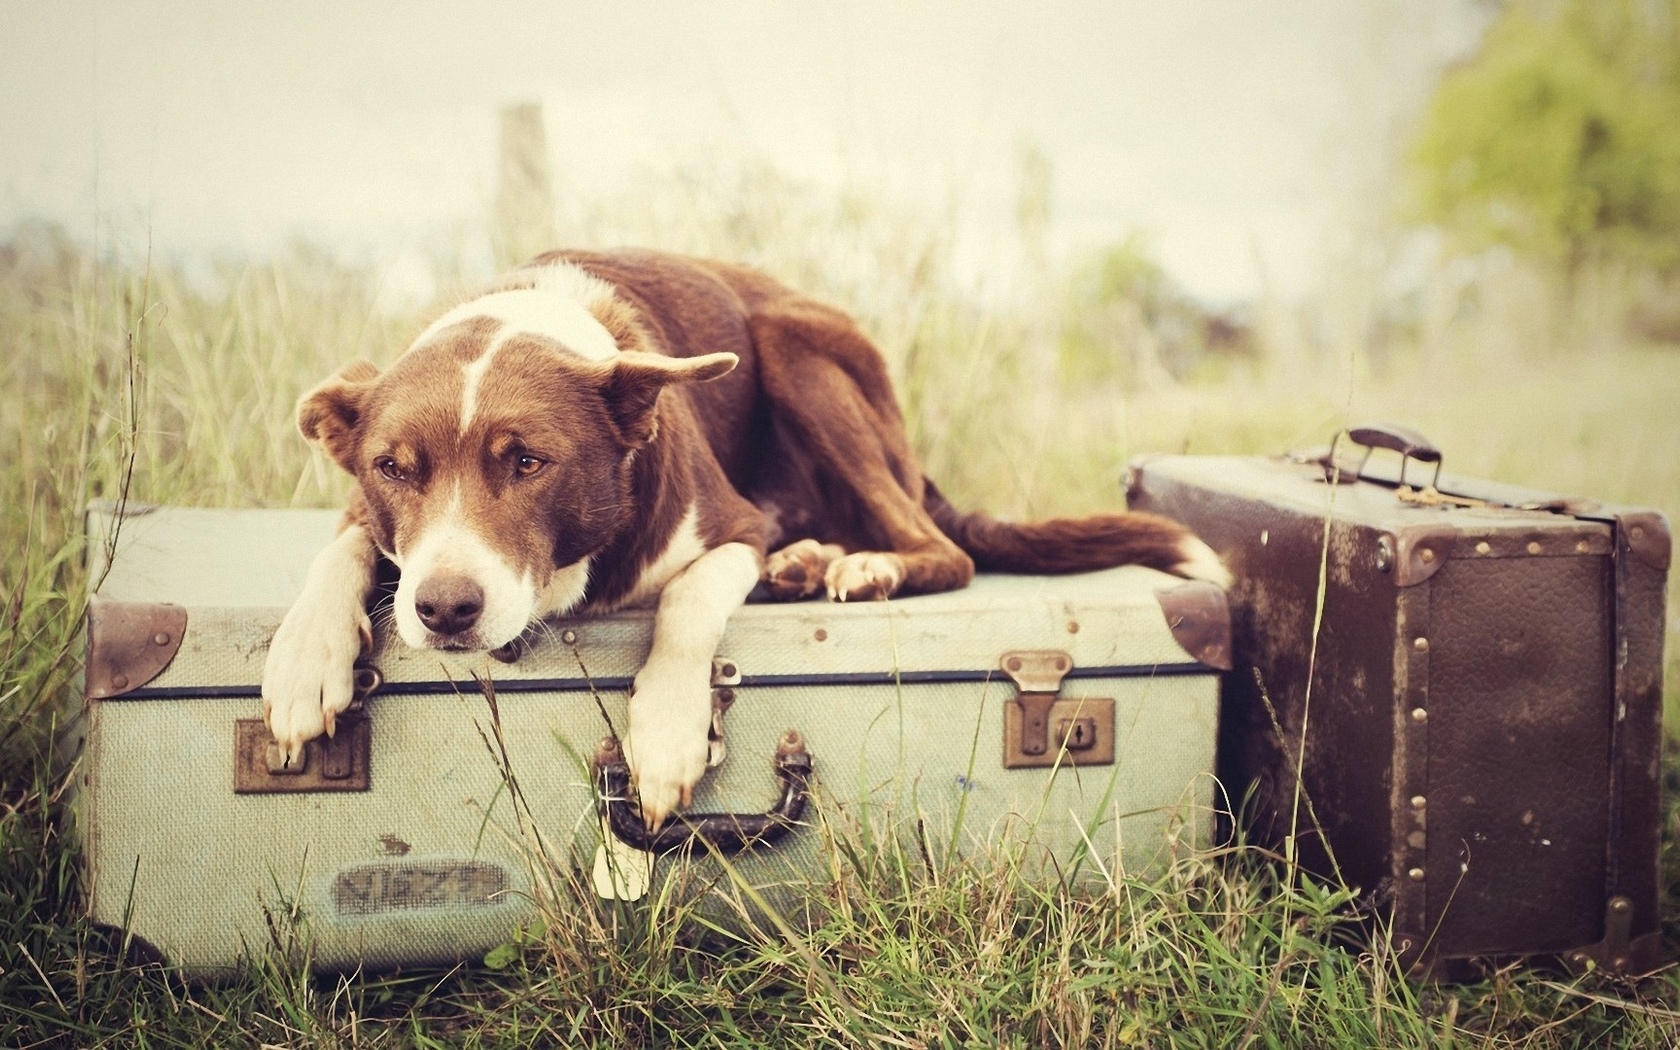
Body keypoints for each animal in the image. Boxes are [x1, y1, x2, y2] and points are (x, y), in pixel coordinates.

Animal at [265, 246, 1236, 826]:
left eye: (530, 462)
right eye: (394, 468)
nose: (444, 609)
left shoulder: (734, 525)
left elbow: (690, 598)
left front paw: (665, 730)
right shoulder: (368, 515)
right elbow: (342, 546)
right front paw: (305, 661)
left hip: (798, 353)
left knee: (942, 549)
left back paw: (862, 567)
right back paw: (809, 563)